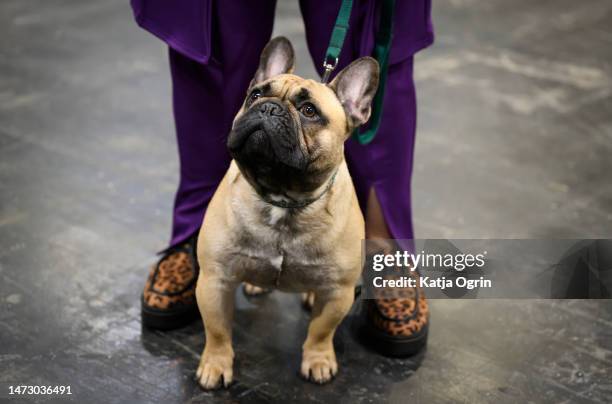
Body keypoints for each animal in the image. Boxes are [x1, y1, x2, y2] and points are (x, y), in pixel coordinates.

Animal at [195, 37, 378, 388]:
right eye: (255, 94)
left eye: (309, 111)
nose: (268, 107)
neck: (282, 197)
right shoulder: (214, 280)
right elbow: (218, 329)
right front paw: (215, 365)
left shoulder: (339, 293)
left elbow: (321, 331)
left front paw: (318, 360)